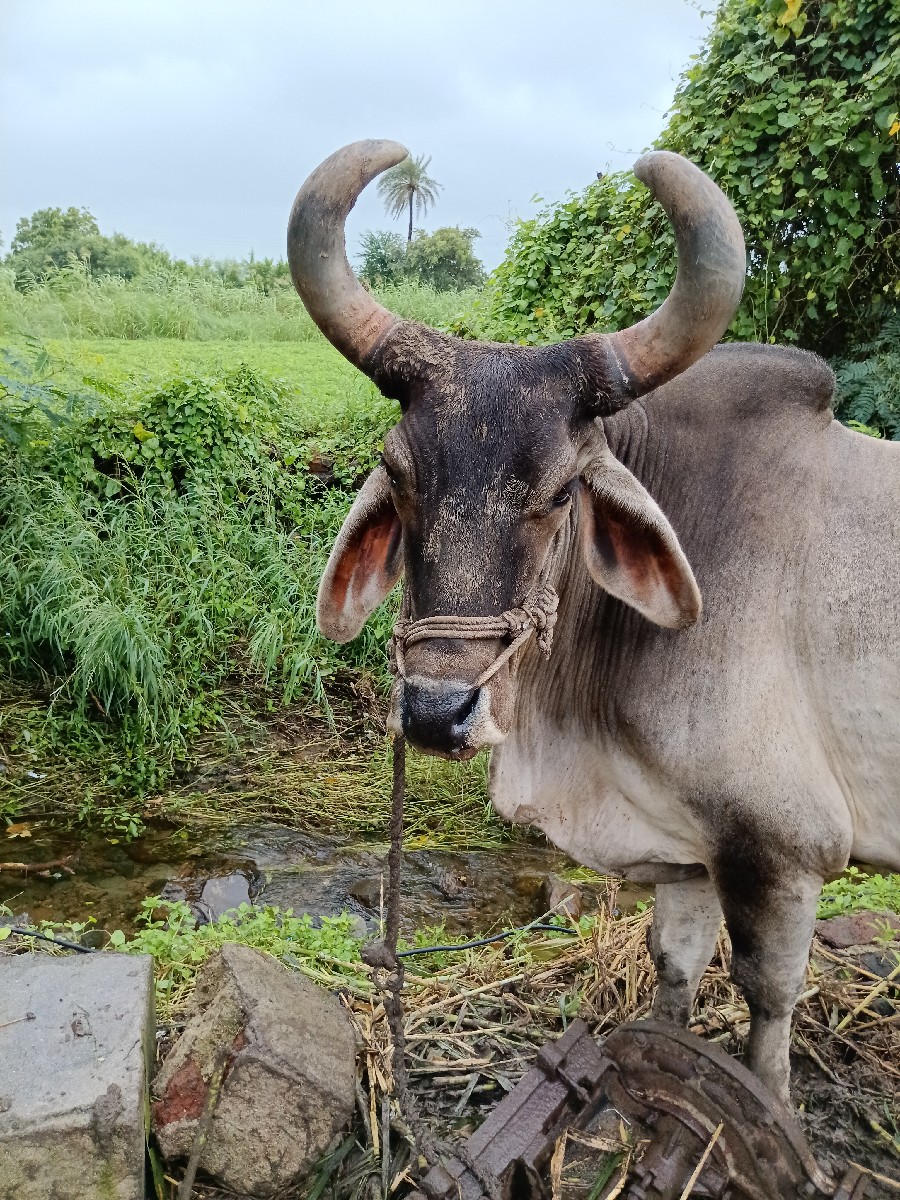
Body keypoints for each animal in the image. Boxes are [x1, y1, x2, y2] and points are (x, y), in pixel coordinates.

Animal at [287, 140, 900, 1103]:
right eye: (402, 472)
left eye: (561, 491)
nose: (434, 713)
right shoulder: (688, 850)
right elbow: (675, 966)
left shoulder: (781, 851)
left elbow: (767, 999)